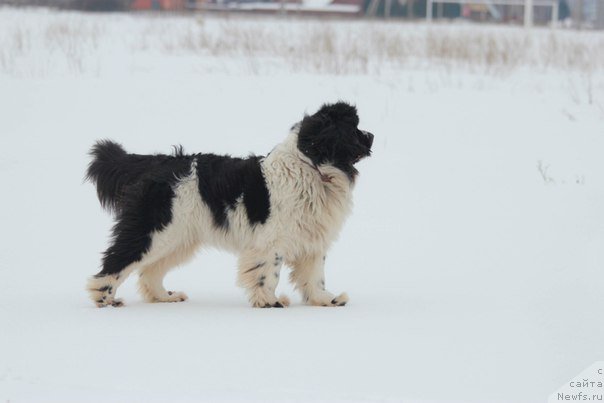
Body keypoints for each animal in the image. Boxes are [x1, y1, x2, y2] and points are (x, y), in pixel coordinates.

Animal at [86, 102, 372, 310]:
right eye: (354, 128)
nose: (372, 135)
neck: (312, 167)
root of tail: (158, 162)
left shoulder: (312, 240)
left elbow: (314, 275)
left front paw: (327, 300)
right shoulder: (270, 241)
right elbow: (269, 273)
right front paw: (270, 301)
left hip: (177, 238)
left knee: (149, 271)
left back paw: (165, 297)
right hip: (153, 228)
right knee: (118, 259)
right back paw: (105, 298)